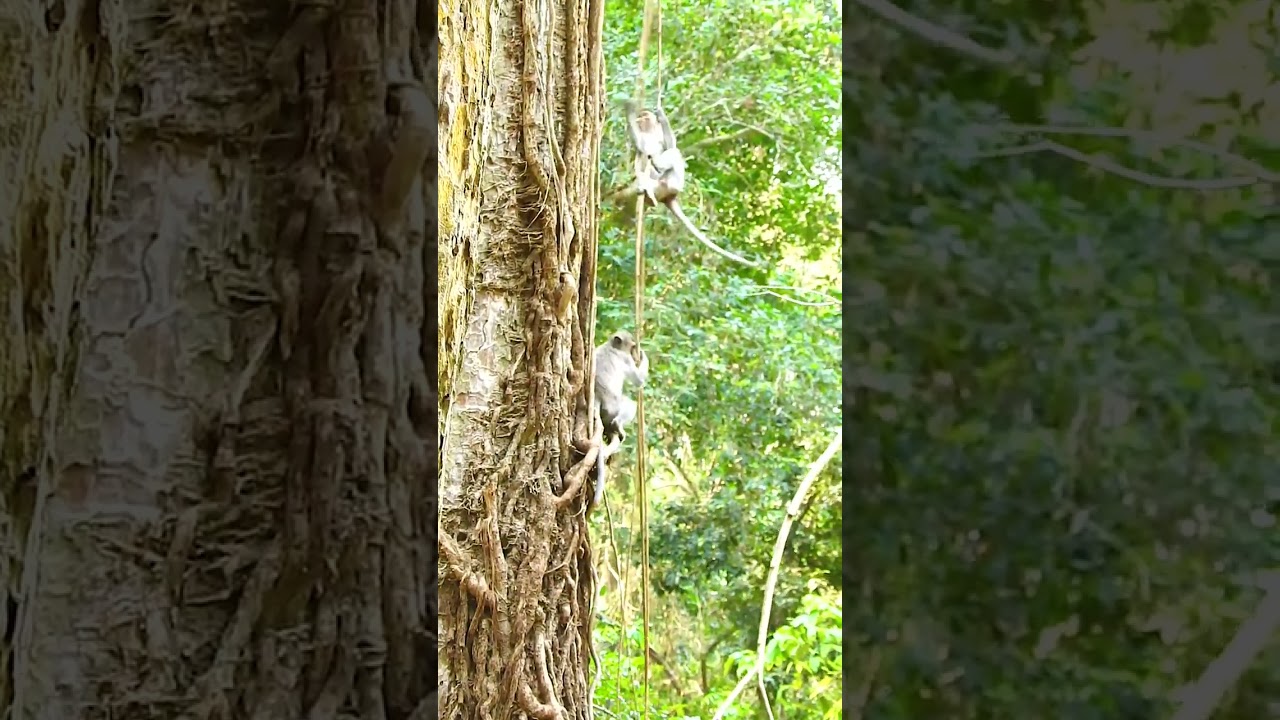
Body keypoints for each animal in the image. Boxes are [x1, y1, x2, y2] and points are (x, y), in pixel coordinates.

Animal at [590, 330, 649, 510]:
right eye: (631, 347)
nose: (635, 351)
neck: (610, 346)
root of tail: (597, 397)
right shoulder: (625, 359)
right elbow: (639, 381)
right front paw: (643, 355)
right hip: (613, 407)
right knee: (630, 405)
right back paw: (617, 426)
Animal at [620, 101, 758, 268]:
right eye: (640, 118)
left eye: (644, 116)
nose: (640, 120)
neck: (650, 130)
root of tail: (667, 196)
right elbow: (641, 147)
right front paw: (629, 112)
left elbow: (670, 145)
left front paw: (661, 115)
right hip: (659, 182)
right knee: (657, 161)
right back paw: (650, 185)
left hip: (664, 181)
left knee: (673, 154)